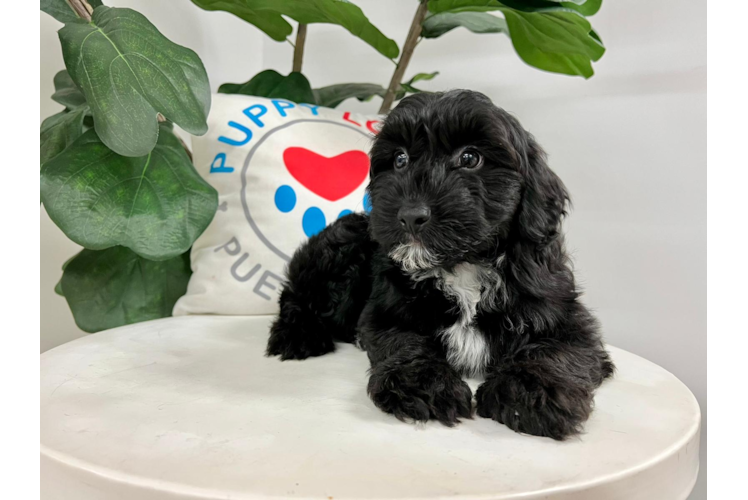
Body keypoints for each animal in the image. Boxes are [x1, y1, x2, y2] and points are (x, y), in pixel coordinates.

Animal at [268, 91, 612, 442]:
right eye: (400, 160)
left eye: (471, 157)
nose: (410, 215)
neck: (462, 266)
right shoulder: (386, 312)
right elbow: (405, 342)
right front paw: (424, 384)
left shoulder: (563, 314)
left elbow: (556, 349)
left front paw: (531, 393)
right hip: (343, 245)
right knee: (294, 295)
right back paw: (297, 335)